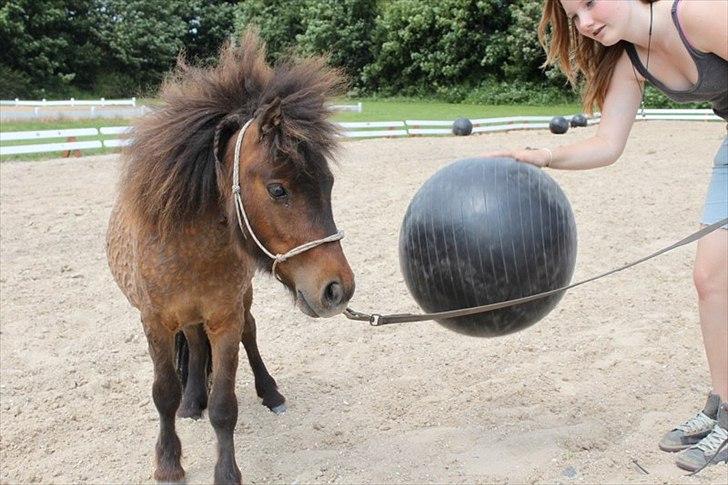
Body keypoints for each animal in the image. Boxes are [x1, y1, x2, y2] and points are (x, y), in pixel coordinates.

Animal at [107, 32, 356, 482]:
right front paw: (168, 461)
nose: (337, 289)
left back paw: (269, 392)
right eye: (278, 189)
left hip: (243, 302)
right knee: (193, 343)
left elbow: (224, 406)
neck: (189, 248)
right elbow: (164, 394)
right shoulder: (155, 323)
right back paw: (192, 401)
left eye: (328, 183)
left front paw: (226, 471)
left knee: (250, 334)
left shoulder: (225, 319)